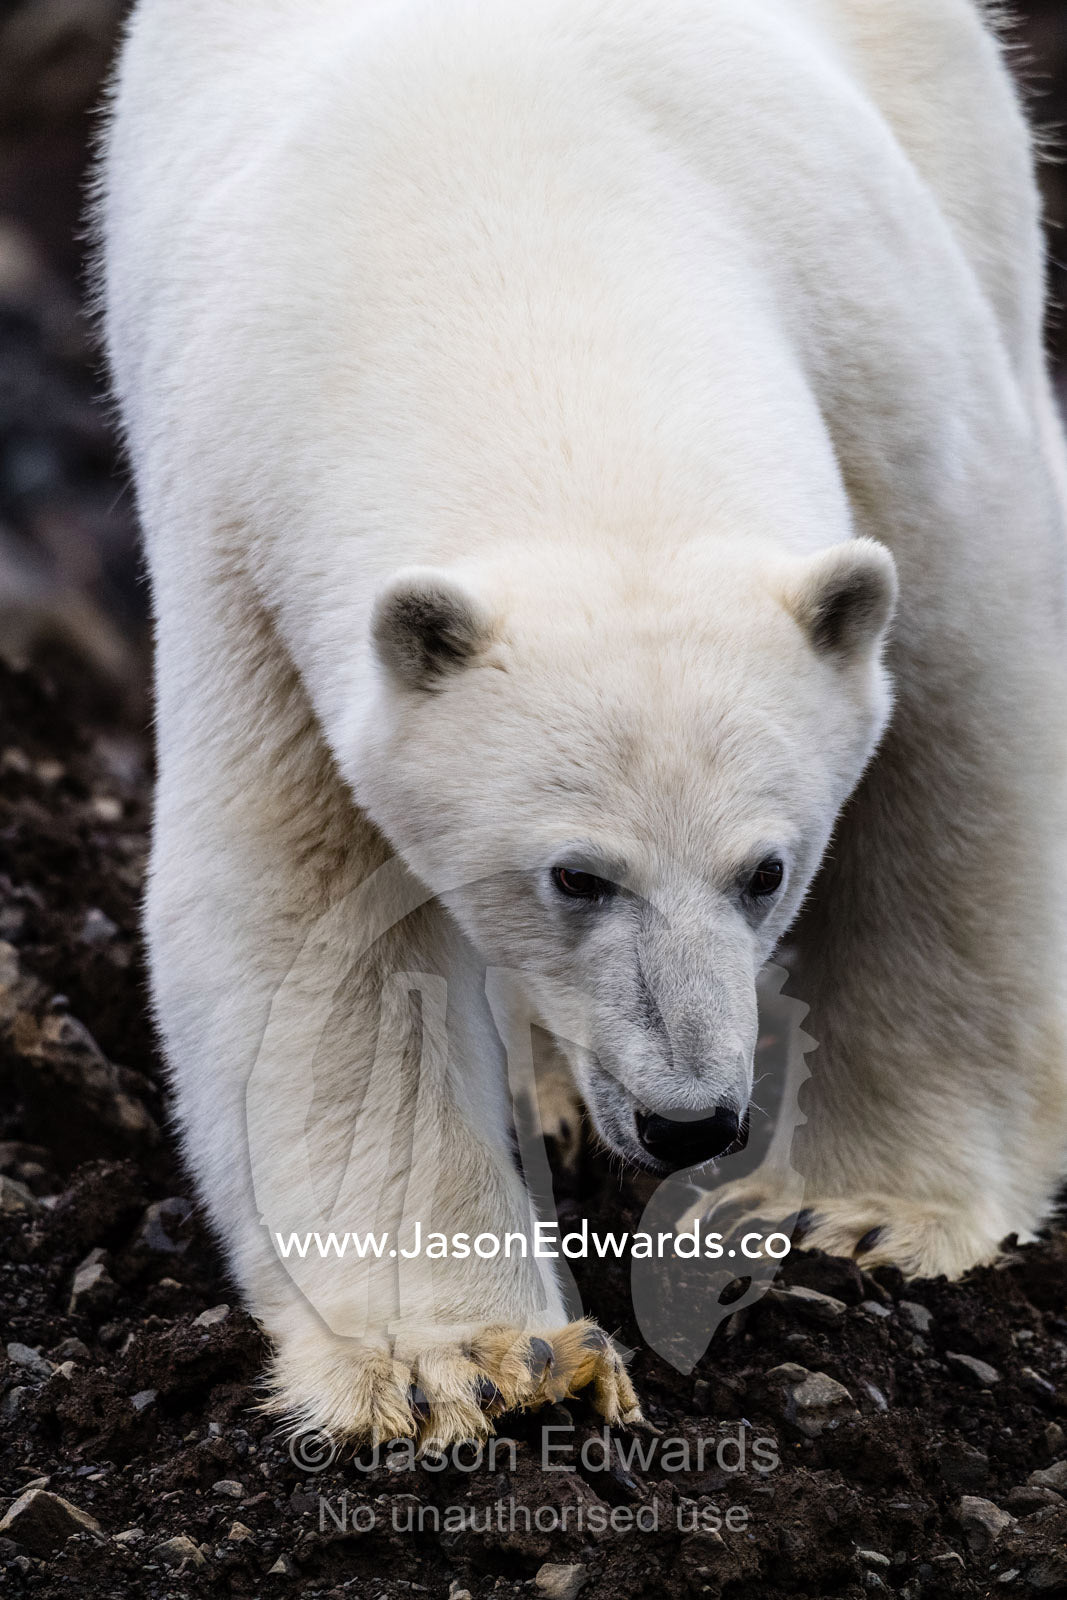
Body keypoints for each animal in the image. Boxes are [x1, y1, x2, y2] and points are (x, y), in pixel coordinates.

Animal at [96, 0, 1067, 1448]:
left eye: (764, 870)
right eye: (573, 875)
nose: (688, 1120)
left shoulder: (879, 360)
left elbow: (958, 745)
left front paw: (859, 1213)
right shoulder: (241, 524)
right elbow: (300, 900)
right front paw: (471, 1363)